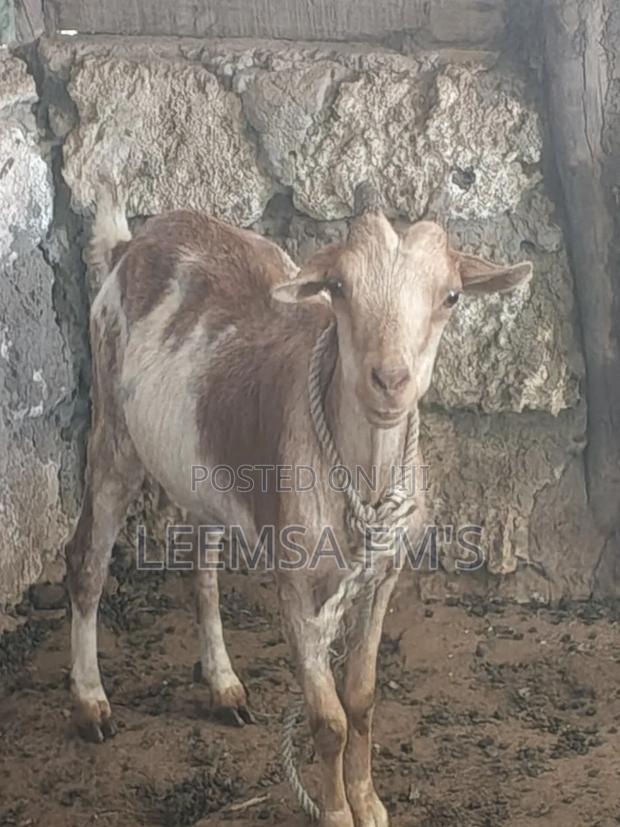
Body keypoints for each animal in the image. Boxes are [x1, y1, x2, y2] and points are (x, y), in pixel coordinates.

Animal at [66, 185, 532, 827]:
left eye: (452, 295)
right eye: (338, 287)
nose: (390, 379)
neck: (365, 482)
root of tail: (131, 242)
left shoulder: (382, 575)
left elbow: (361, 700)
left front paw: (370, 803)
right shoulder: (297, 584)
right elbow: (328, 719)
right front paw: (336, 814)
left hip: (203, 471)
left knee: (201, 572)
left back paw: (225, 687)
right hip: (113, 422)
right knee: (87, 562)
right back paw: (91, 703)